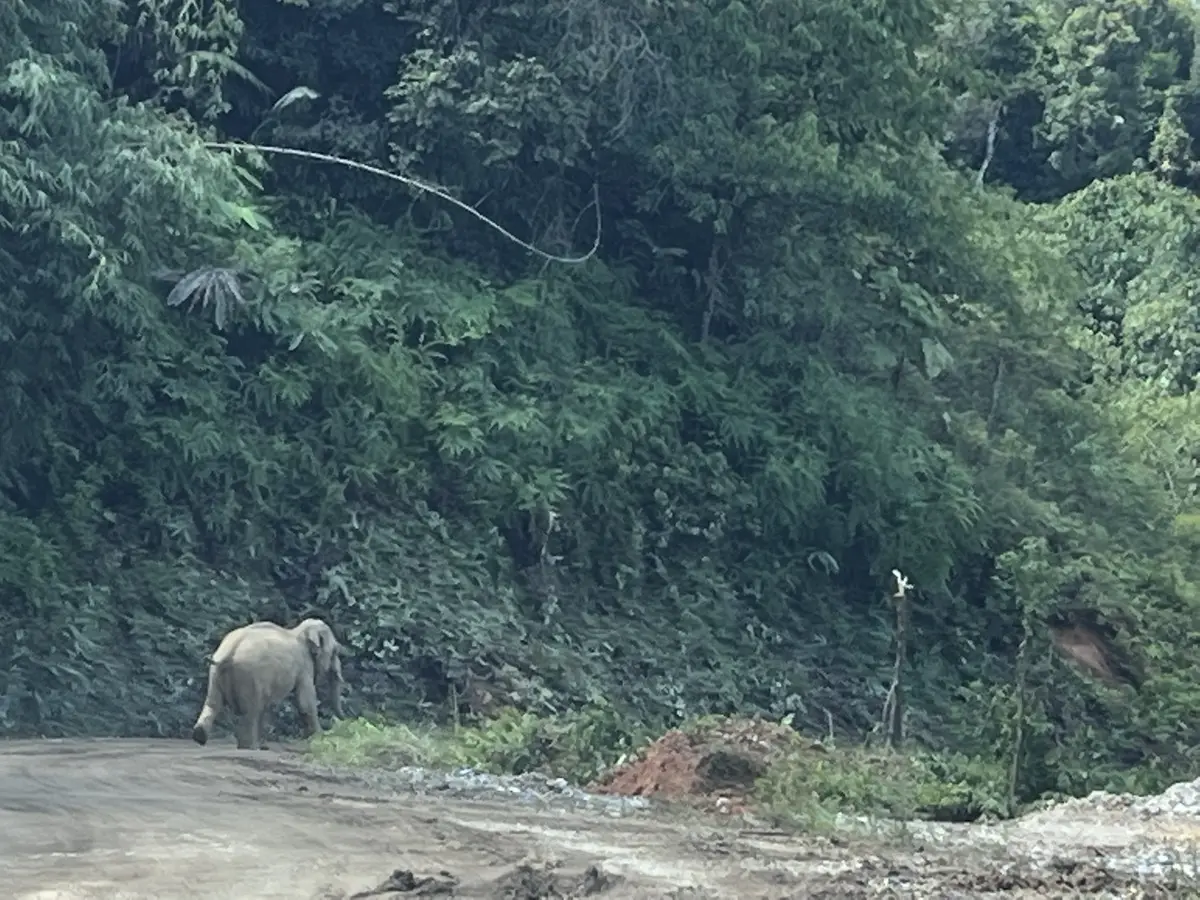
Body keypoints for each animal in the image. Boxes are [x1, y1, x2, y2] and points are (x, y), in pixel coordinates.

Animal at [191, 617, 344, 750]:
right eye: (335, 651)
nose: (340, 722)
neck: (299, 631)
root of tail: (228, 652)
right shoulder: (304, 665)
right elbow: (305, 703)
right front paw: (321, 738)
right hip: (249, 674)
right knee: (251, 711)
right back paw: (250, 748)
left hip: (216, 673)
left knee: (213, 703)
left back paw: (200, 737)